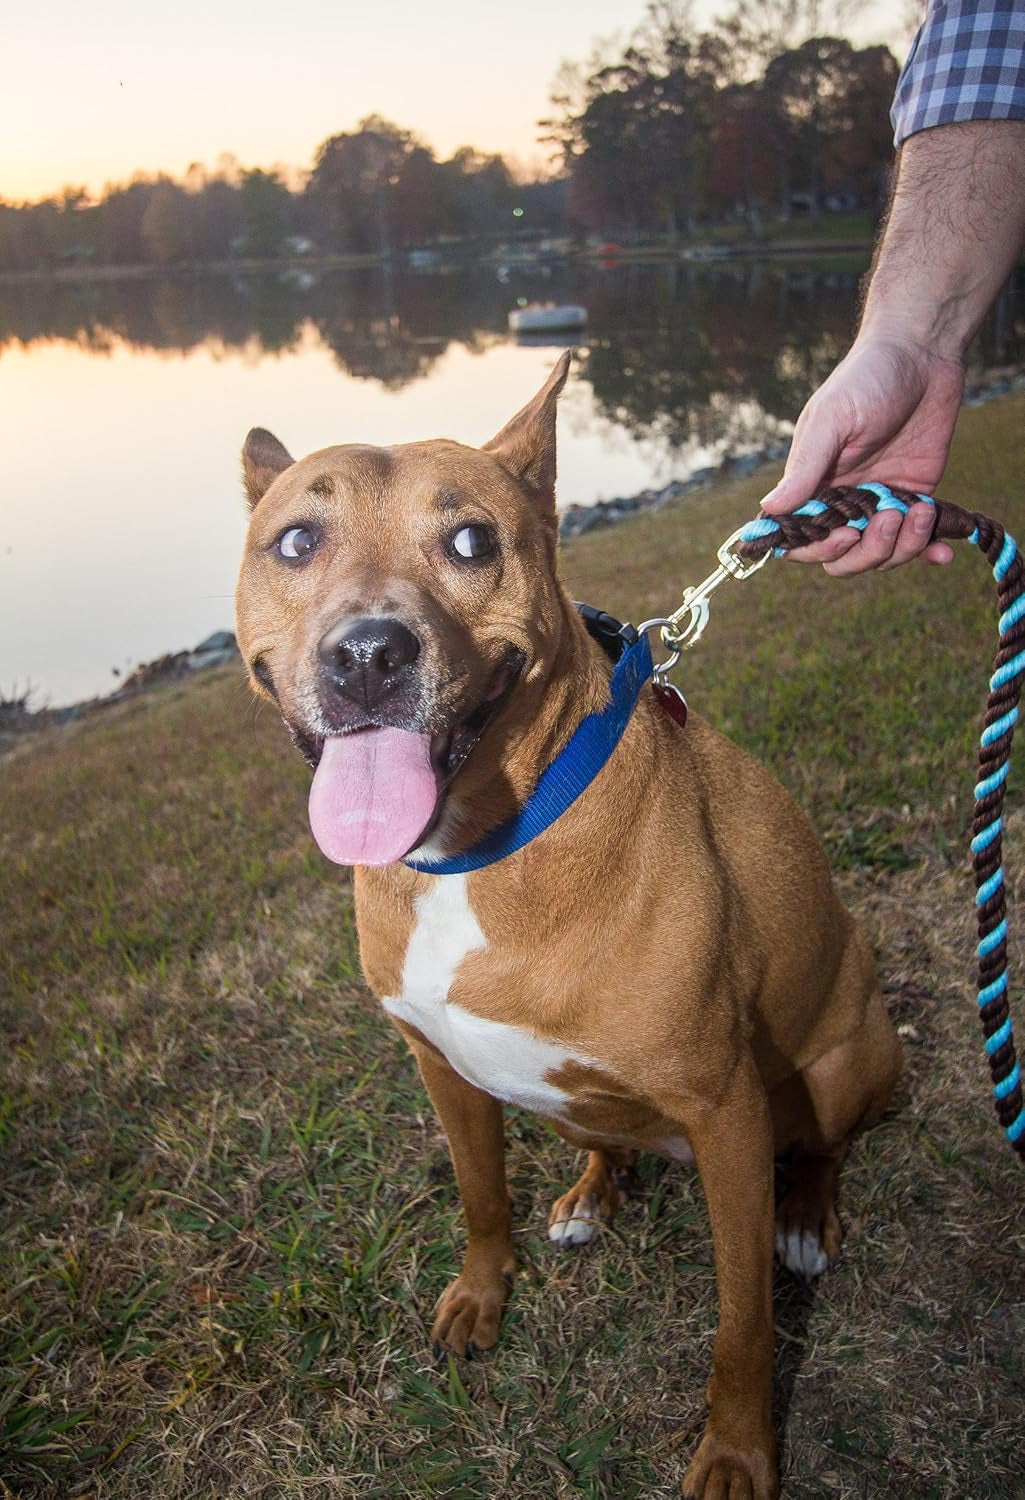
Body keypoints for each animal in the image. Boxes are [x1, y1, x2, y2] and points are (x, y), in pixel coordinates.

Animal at [237, 354, 900, 1500]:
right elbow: (479, 1196)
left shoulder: (725, 1110)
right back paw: (593, 1191)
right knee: (602, 1140)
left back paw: (806, 1220)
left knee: (821, 1144)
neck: (472, 851)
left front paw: (735, 1452)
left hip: (847, 1051)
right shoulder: (440, 1066)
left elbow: (741, 1322)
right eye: (295, 541)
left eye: (471, 541)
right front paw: (479, 1298)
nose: (367, 655)